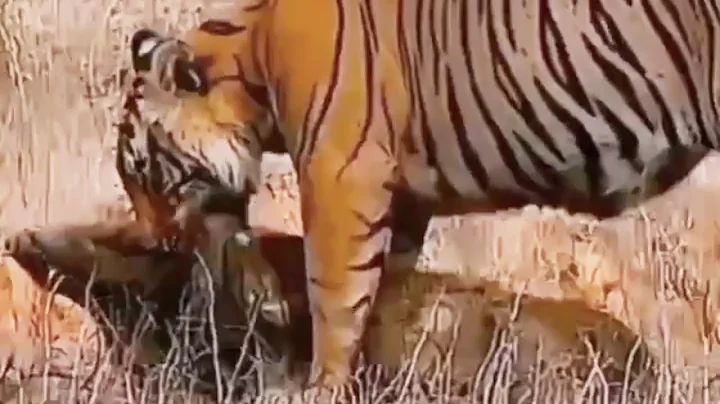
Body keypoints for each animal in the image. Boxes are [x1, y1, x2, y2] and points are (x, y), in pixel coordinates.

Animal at [126, 0, 720, 388]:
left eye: (141, 168)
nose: (151, 242)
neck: (252, 57)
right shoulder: (404, 199)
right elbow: (390, 291)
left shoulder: (340, 181)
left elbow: (335, 303)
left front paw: (325, 384)